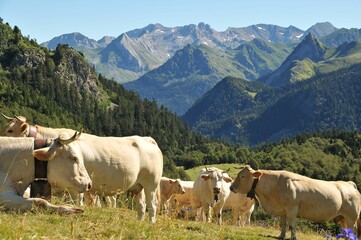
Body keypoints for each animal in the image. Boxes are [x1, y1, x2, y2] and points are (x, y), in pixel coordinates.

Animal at [229, 165, 360, 240]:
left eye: (242, 176)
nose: (231, 187)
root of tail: (349, 183)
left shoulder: (292, 208)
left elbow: (291, 225)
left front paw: (293, 237)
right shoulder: (282, 210)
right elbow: (283, 224)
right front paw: (281, 236)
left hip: (352, 217)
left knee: (352, 230)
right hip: (342, 217)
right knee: (347, 230)